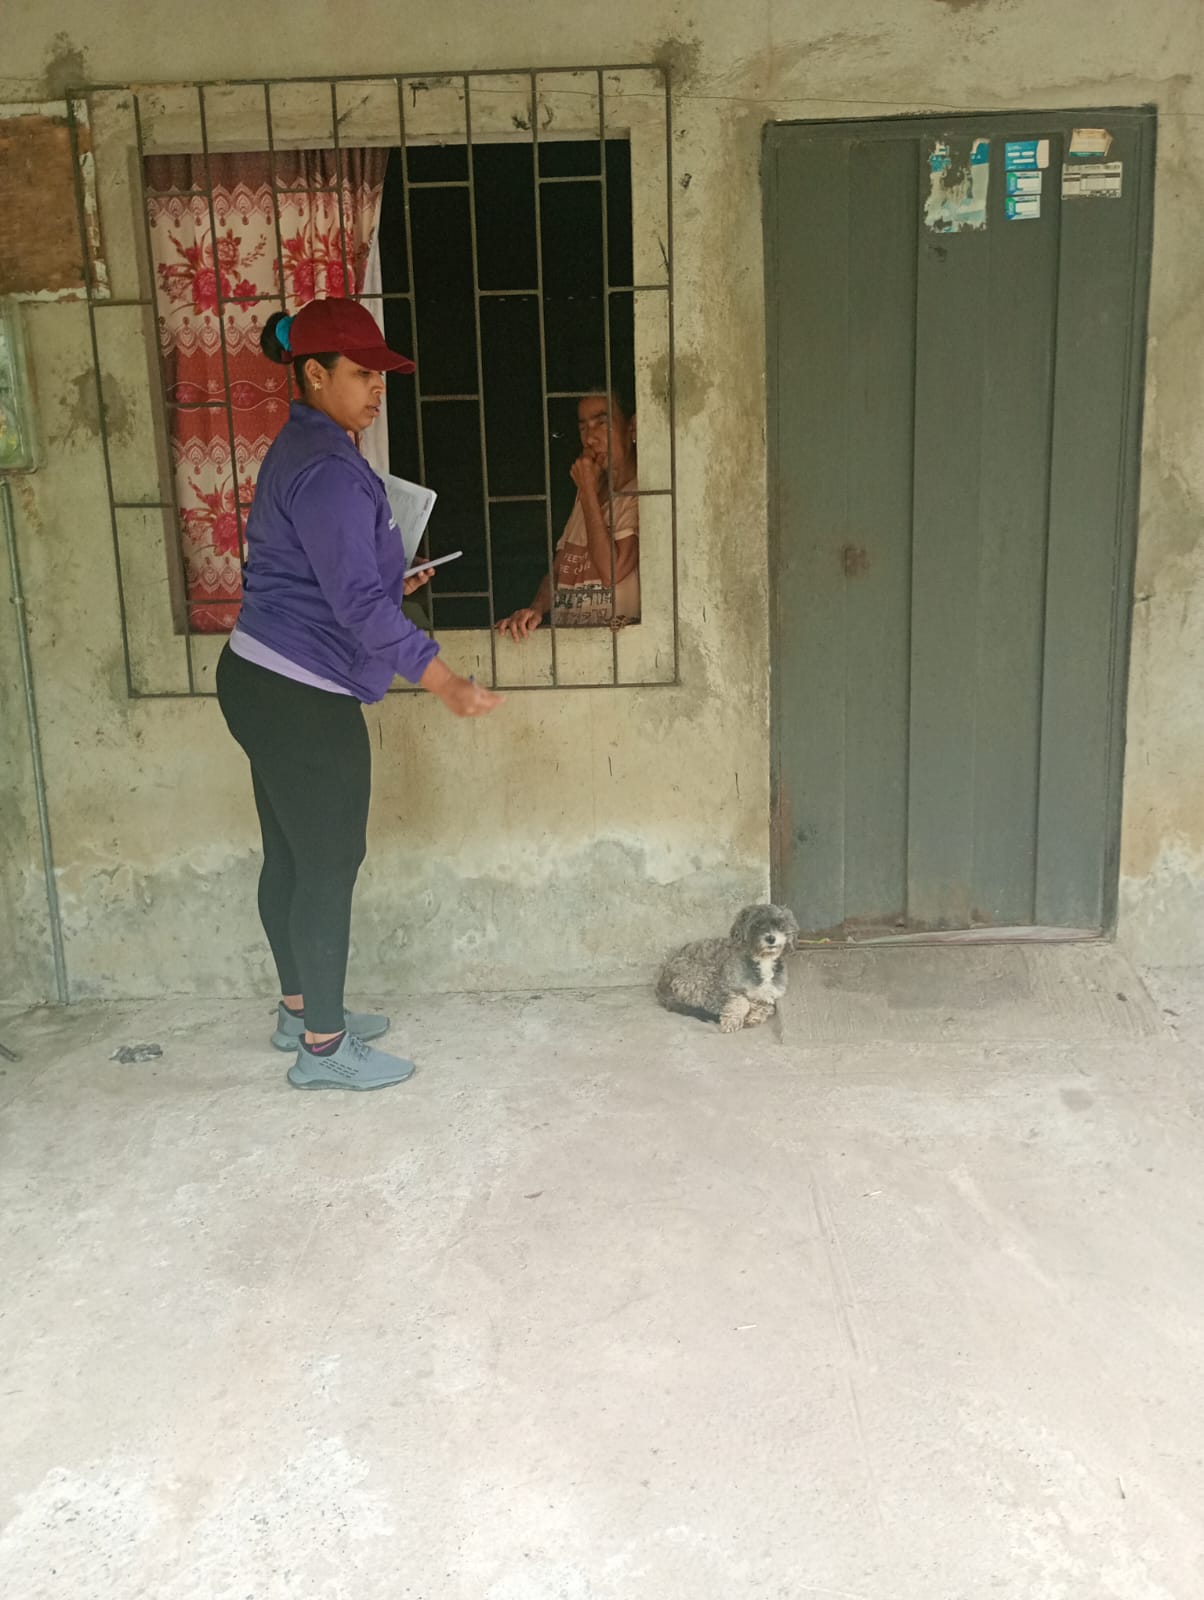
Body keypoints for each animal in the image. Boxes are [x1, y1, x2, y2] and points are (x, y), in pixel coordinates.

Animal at [656, 904, 800, 1031]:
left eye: (779, 924)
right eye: (757, 924)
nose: (771, 938)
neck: (763, 960)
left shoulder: (771, 993)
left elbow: (767, 1006)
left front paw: (755, 1016)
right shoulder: (727, 986)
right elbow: (741, 1001)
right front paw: (732, 1020)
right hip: (703, 976)